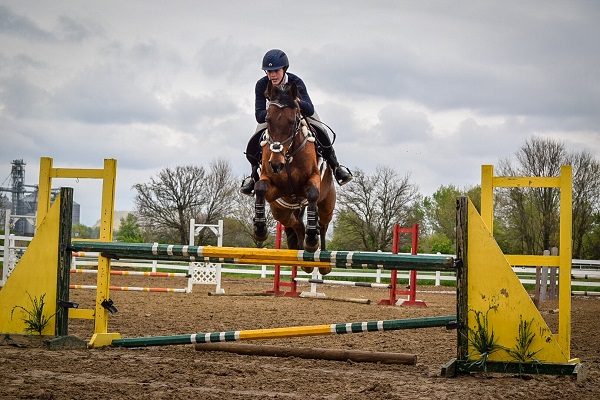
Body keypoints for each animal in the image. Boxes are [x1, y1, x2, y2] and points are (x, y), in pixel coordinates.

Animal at [252, 81, 336, 276]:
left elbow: (312, 193)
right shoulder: (272, 186)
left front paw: (312, 240)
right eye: (268, 120)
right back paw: (305, 258)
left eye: (292, 122)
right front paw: (260, 230)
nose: (276, 164)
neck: (288, 155)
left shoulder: (313, 180)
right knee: (297, 224)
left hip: (327, 203)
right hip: (280, 211)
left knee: (323, 224)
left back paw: (323, 262)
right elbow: (260, 188)